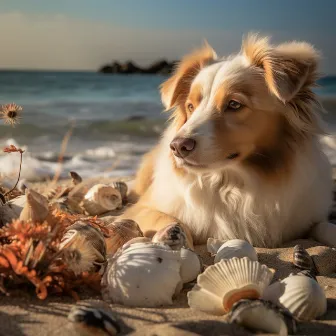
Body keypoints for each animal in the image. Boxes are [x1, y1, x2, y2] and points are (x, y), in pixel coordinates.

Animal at [121, 34, 334, 249]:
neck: (231, 184)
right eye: (190, 106)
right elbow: (171, 219)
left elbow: (323, 226)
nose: (177, 147)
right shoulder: (142, 208)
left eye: (234, 104)